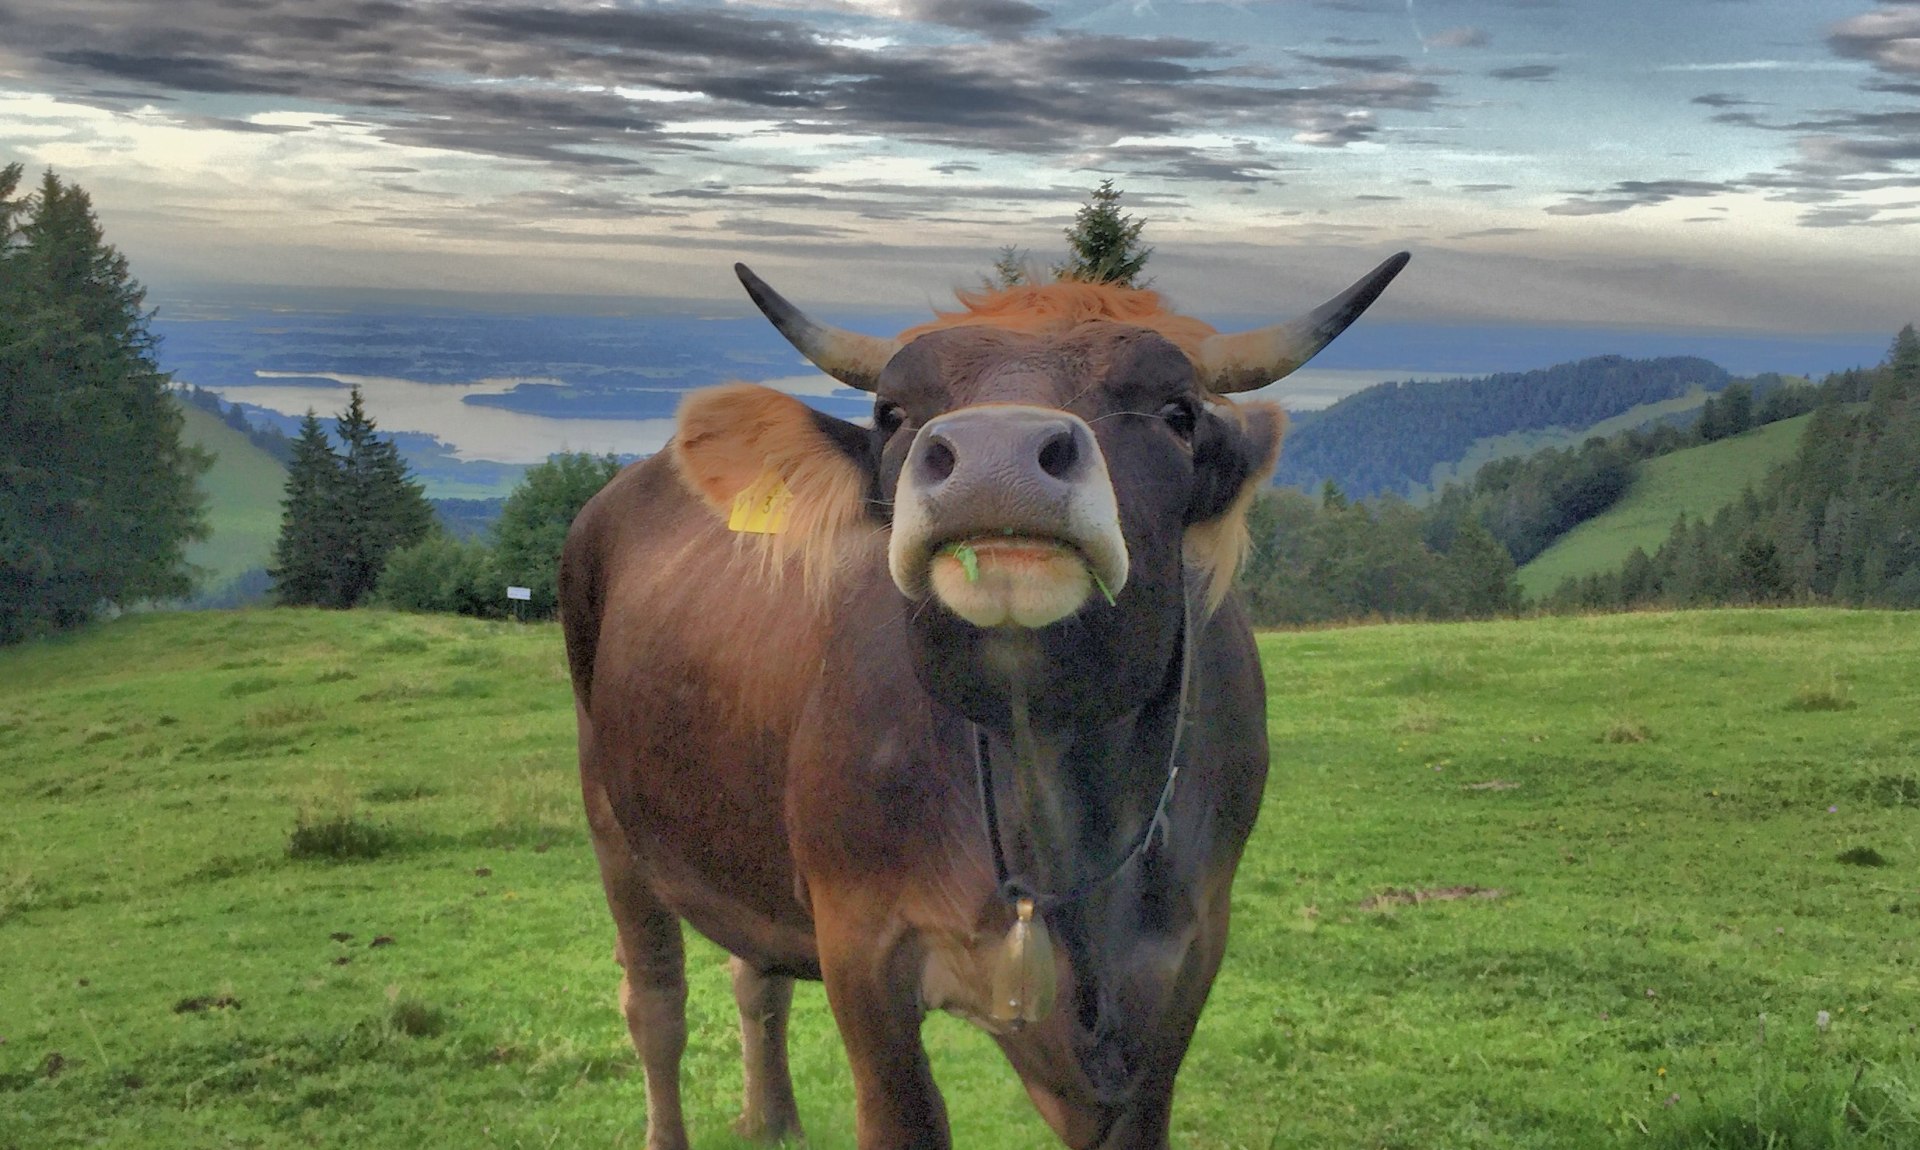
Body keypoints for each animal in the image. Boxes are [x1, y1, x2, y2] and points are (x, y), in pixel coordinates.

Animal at [560, 253, 1405, 1150]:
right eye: (893, 411)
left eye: (1177, 412)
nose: (995, 454)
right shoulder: (860, 946)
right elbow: (906, 1117)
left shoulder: (1188, 955)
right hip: (611, 814)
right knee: (656, 1005)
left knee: (755, 976)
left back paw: (773, 1118)